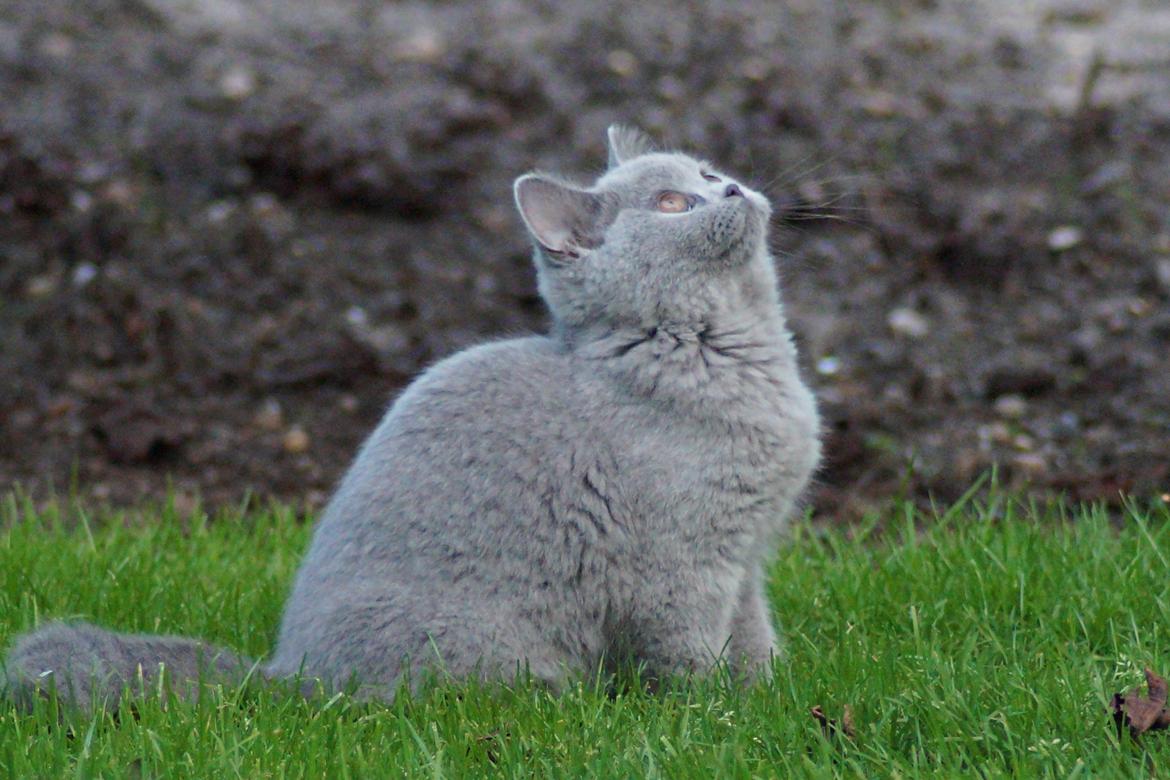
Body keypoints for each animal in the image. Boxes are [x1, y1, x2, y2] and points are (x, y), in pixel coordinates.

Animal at [2, 126, 823, 706]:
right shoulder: (682, 566)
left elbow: (753, 632)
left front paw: (767, 694)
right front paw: (710, 714)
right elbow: (686, 654)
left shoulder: (746, 554)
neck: (725, 352)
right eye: (672, 204)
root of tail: (289, 678)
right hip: (485, 650)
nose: (731, 189)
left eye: (706, 174)